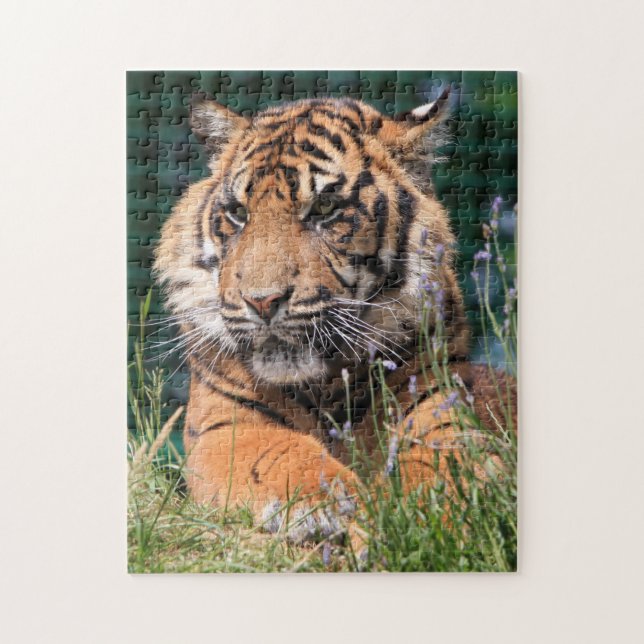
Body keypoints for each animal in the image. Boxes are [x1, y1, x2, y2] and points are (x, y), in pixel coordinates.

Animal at [154, 91, 515, 543]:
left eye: (324, 207)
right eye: (238, 212)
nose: (262, 301)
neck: (325, 385)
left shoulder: (439, 406)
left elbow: (442, 462)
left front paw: (431, 521)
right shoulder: (224, 424)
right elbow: (280, 451)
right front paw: (332, 501)